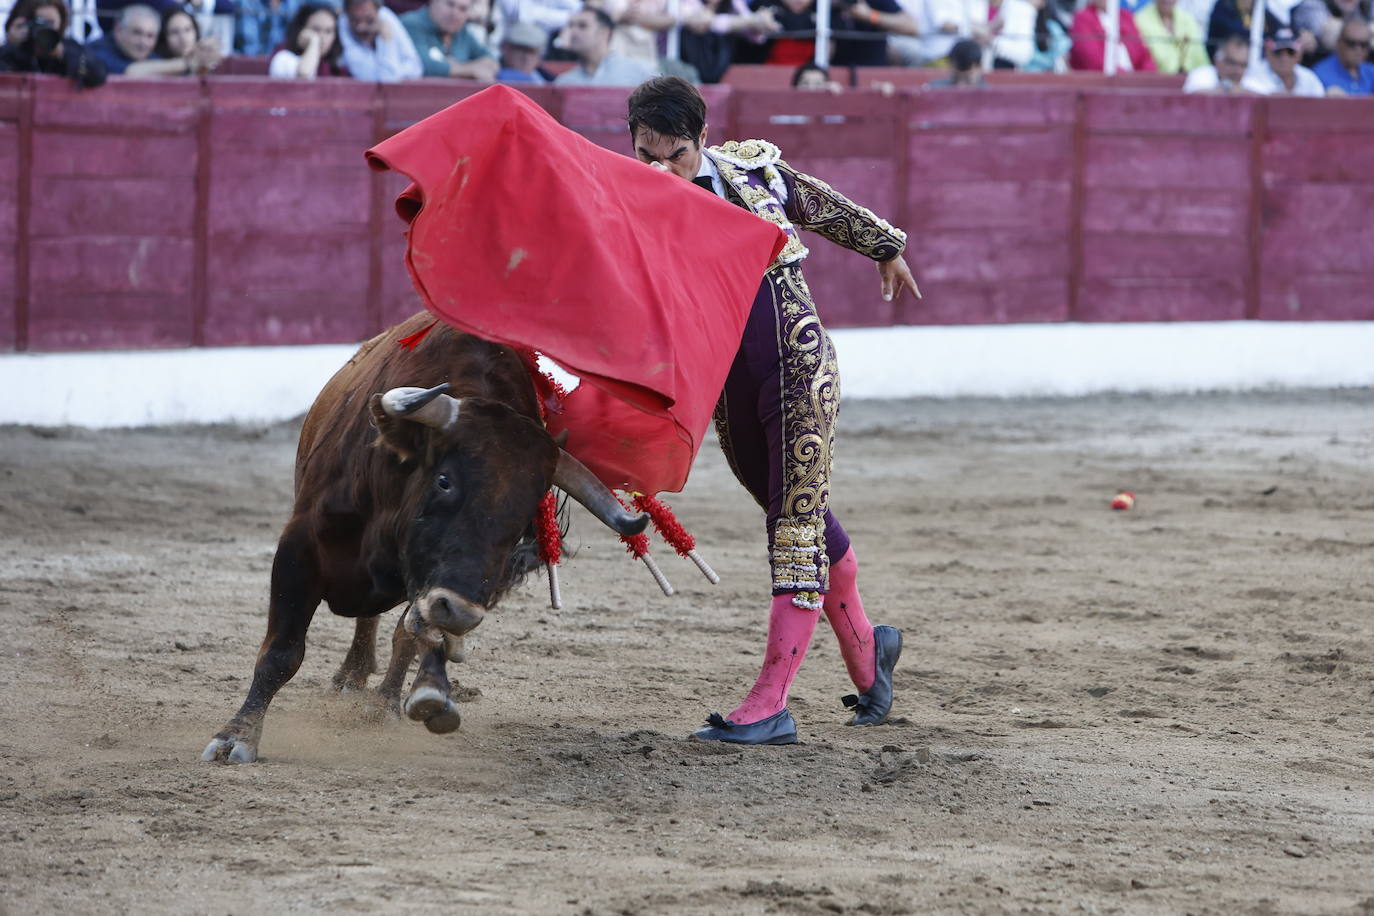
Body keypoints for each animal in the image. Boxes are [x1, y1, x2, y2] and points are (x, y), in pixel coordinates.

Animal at [203, 311, 648, 763]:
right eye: (444, 481)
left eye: (525, 518)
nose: (463, 614)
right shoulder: (299, 547)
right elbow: (282, 651)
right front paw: (236, 736)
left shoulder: (434, 582)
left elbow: (411, 632)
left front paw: (418, 695)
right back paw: (352, 676)